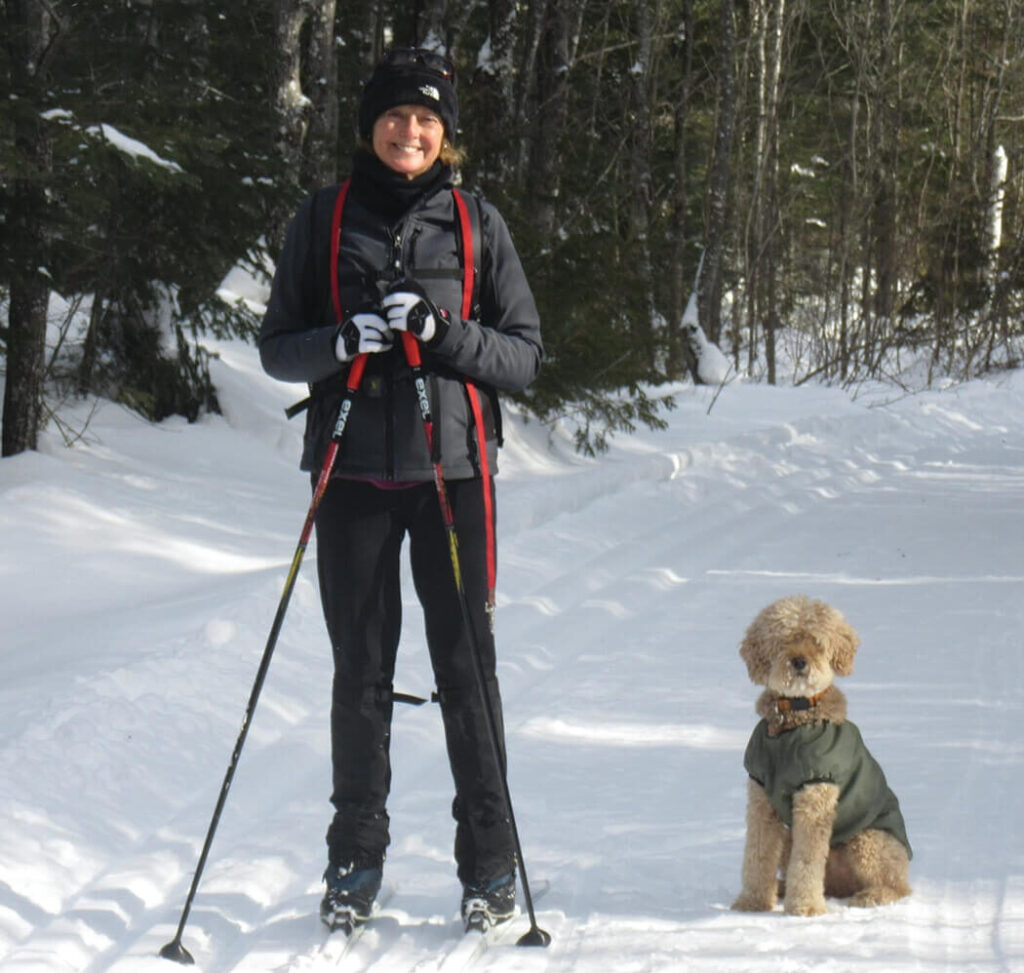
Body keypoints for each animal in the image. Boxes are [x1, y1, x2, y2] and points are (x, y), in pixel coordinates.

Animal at [733, 594, 909, 921]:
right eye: (783, 640)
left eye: (816, 641)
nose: (799, 662)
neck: (793, 720)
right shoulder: (761, 796)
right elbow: (757, 853)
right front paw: (751, 902)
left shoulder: (815, 795)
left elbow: (806, 861)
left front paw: (804, 907)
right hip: (791, 838)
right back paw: (781, 888)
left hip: (869, 840)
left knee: (899, 886)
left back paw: (871, 896)